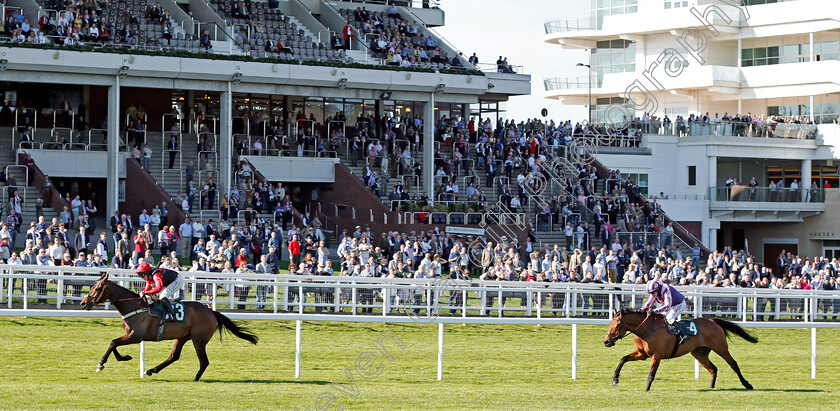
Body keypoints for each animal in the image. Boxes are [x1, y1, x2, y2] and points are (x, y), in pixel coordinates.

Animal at [83, 274, 260, 384]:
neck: (134, 305)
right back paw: (151, 370)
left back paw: (195, 378)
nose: (84, 303)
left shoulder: (137, 336)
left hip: (199, 340)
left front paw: (101, 364)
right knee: (174, 356)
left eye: (97, 288)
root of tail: (211, 312)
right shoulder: (131, 335)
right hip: (181, 337)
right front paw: (124, 357)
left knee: (204, 361)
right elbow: (114, 344)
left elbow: (113, 343)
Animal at [604, 308, 760, 392]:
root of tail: (712, 321)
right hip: (699, 353)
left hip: (721, 348)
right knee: (713, 368)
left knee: (733, 364)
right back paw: (711, 387)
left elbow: (651, 374)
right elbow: (623, 359)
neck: (647, 329)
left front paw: (647, 388)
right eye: (610, 323)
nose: (606, 341)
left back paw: (747, 384)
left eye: (617, 324)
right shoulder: (642, 354)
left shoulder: (656, 356)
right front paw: (615, 380)